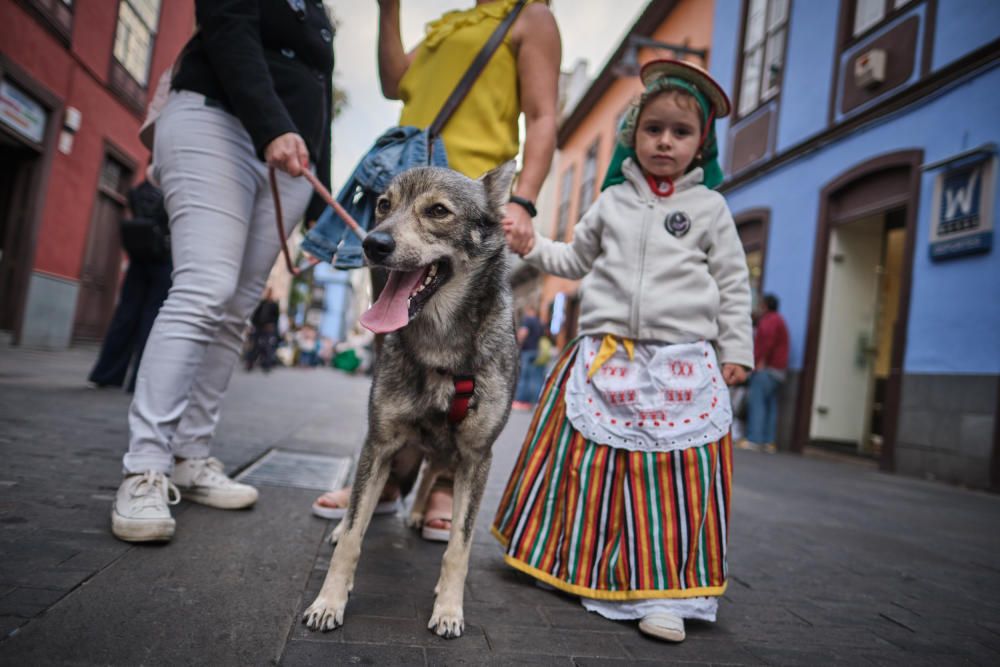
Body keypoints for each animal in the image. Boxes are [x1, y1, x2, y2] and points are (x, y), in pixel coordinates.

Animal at [302, 160, 524, 636]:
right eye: (384, 206)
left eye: (438, 211)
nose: (373, 243)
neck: (440, 347)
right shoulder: (381, 442)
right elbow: (353, 534)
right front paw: (329, 601)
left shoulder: (477, 456)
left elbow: (459, 546)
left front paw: (449, 609)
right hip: (396, 453)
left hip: (449, 457)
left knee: (434, 474)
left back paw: (426, 512)